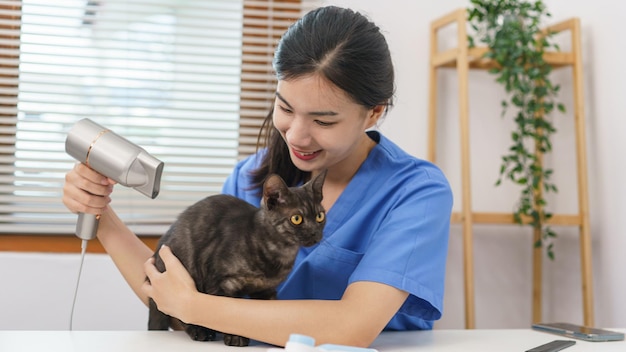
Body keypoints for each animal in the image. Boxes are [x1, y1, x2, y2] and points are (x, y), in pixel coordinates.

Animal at [147, 170, 326, 346]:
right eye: (297, 219)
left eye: (320, 216)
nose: (315, 233)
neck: (280, 252)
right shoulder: (220, 282)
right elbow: (225, 311)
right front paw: (235, 337)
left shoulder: (265, 290)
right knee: (178, 313)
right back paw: (200, 331)